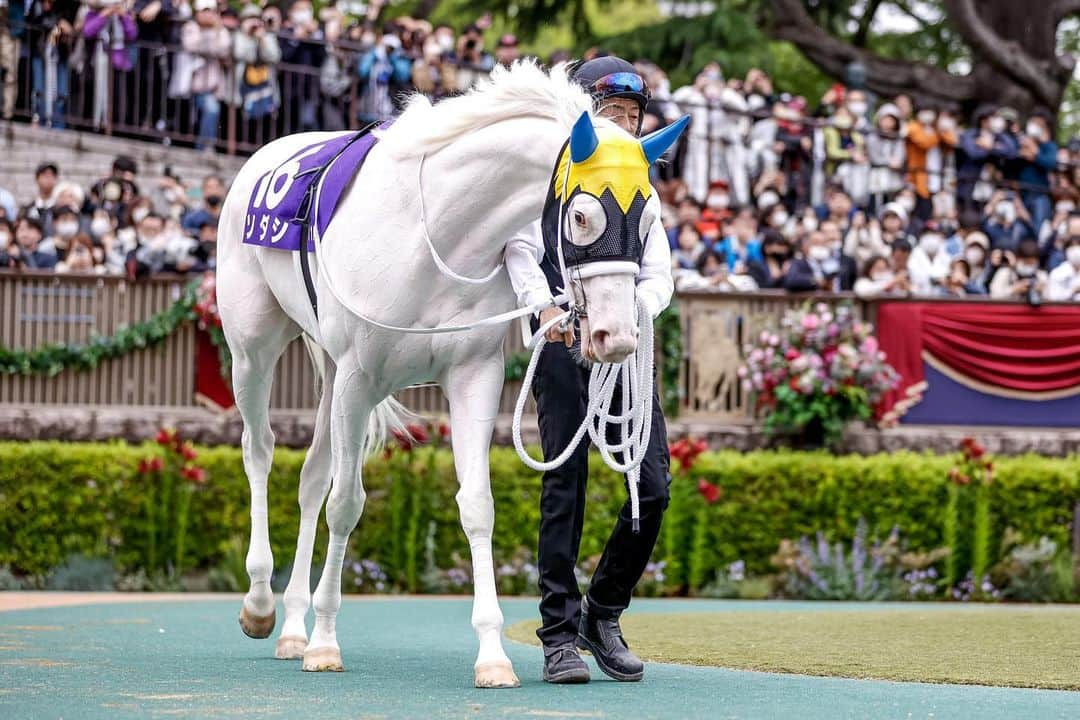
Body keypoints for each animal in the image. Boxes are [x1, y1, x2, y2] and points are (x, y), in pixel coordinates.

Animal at [214, 62, 678, 686]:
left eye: (650, 220)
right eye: (582, 215)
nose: (619, 336)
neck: (429, 231)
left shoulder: (470, 376)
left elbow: (476, 505)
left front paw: (493, 655)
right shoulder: (358, 376)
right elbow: (347, 504)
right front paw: (326, 643)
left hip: (328, 369)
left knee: (311, 477)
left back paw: (290, 627)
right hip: (254, 347)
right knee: (260, 451)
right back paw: (262, 604)